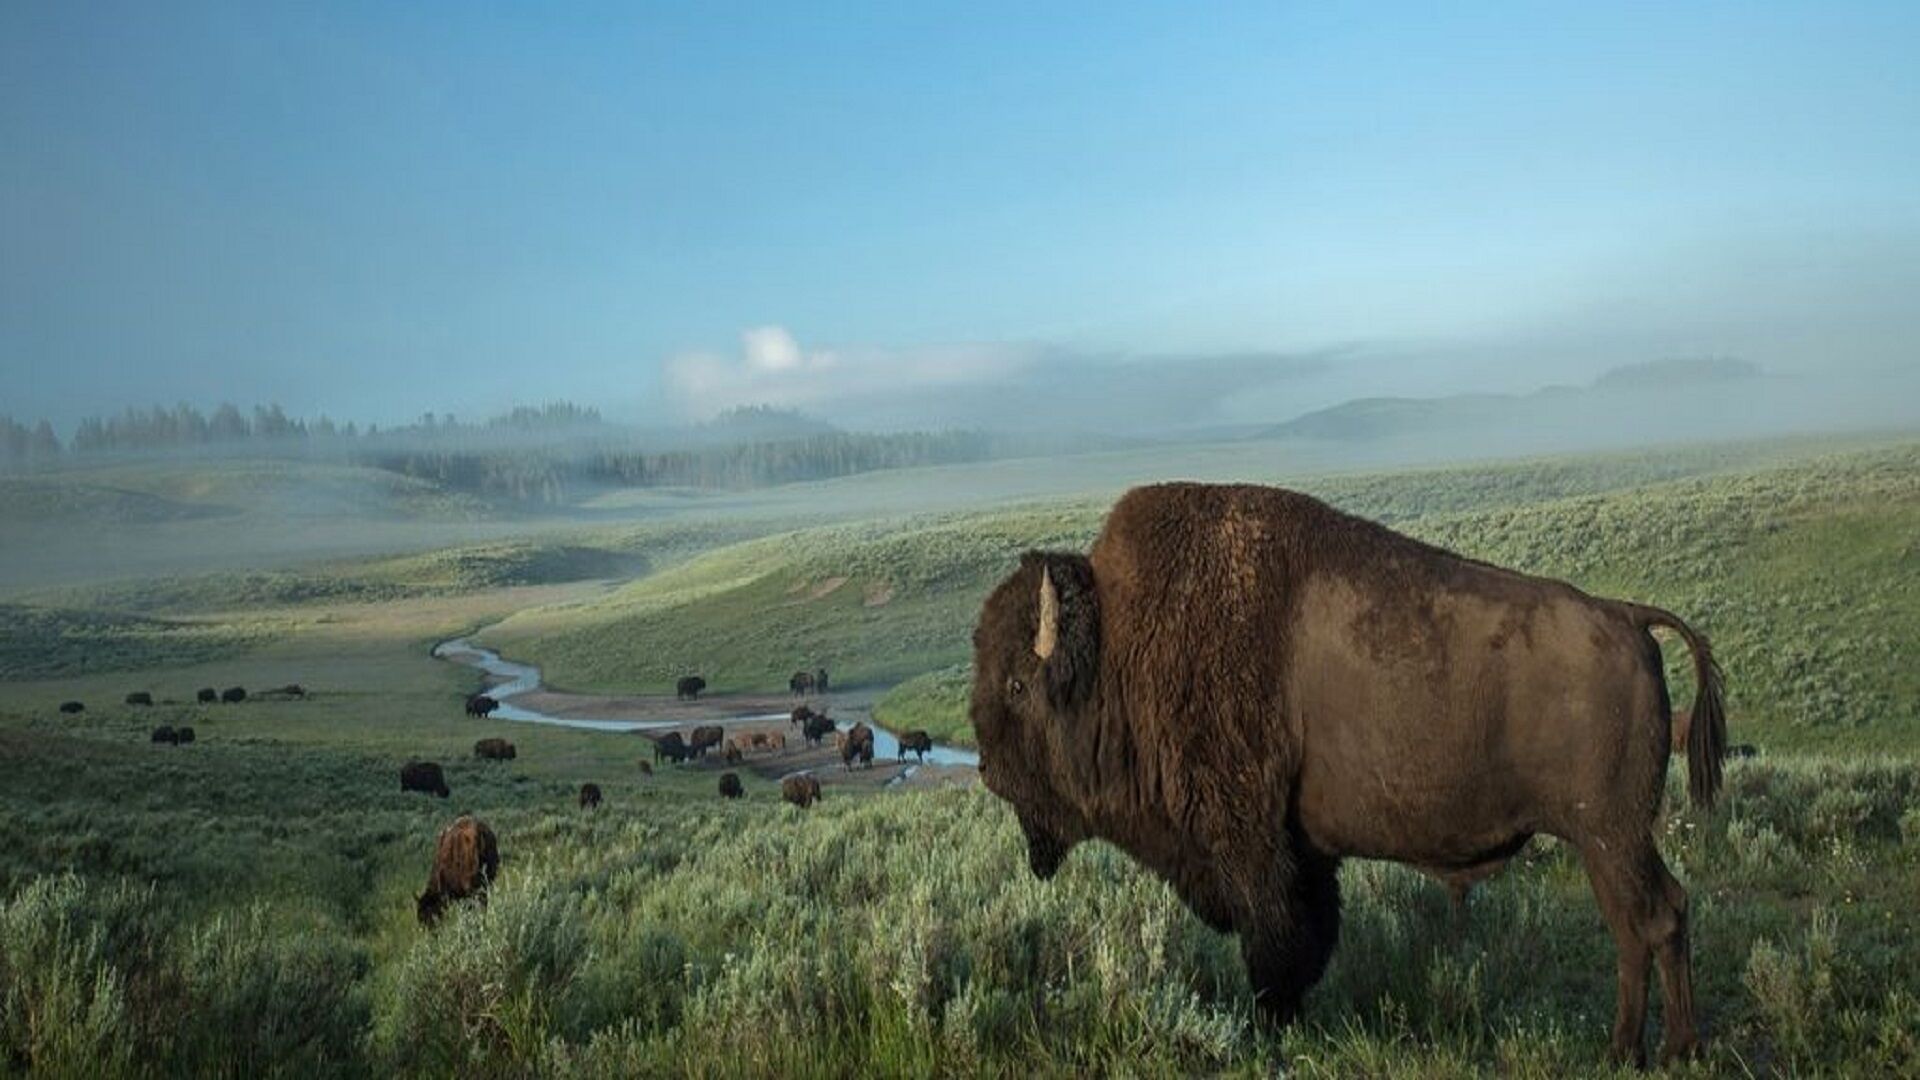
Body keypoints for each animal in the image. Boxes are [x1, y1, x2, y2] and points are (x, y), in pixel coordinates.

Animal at [968, 482, 1727, 1067]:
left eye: (1016, 685)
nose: (985, 768)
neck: (1118, 648)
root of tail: (1627, 616)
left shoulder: (1251, 847)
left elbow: (1277, 947)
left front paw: (1271, 1029)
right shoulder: (1305, 853)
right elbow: (1310, 937)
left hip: (1609, 836)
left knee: (1651, 919)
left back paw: (1659, 1050)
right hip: (1609, 841)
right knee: (1646, 921)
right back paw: (1642, 1049)